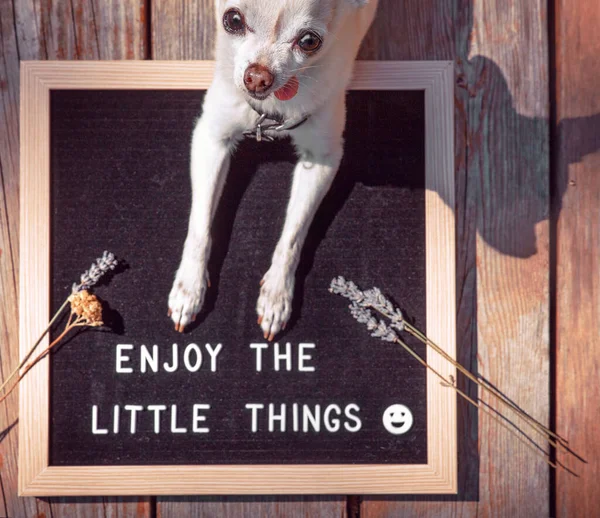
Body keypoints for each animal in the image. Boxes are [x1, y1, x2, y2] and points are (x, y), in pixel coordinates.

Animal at [168, 0, 376, 340]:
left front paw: (277, 294)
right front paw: (190, 287)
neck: (270, 112)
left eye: (309, 41)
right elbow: (200, 225)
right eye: (232, 20)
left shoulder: (321, 158)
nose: (257, 76)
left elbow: (292, 235)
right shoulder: (211, 138)